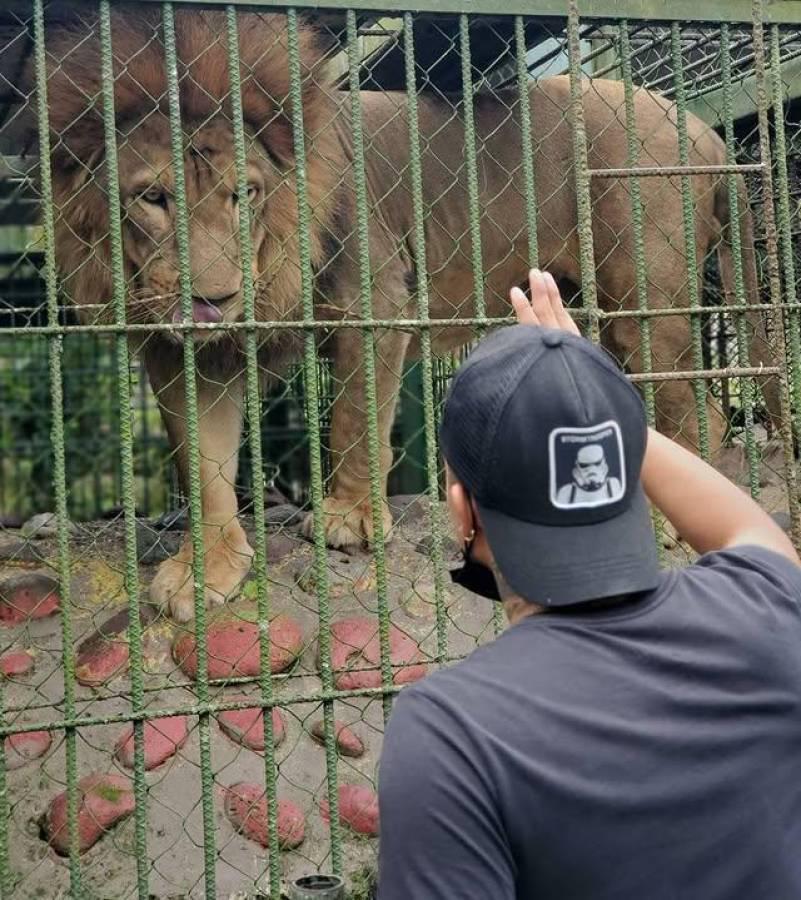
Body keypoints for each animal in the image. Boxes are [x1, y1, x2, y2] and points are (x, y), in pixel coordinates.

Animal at [32, 7, 780, 624]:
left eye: (243, 194)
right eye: (152, 197)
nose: (213, 298)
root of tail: (704, 130)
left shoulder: (377, 299)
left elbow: (353, 419)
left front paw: (349, 519)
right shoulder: (188, 350)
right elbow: (203, 462)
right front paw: (203, 571)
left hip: (644, 300)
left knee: (697, 415)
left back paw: (659, 524)